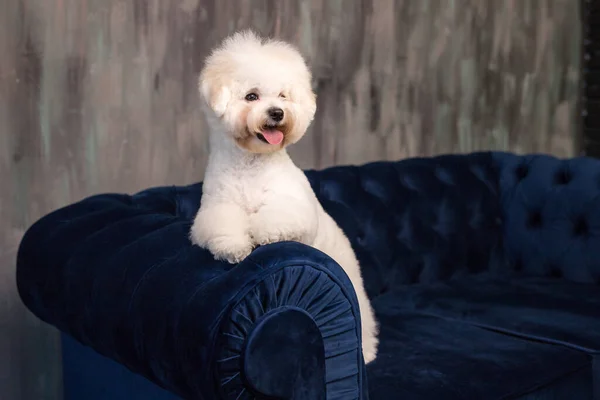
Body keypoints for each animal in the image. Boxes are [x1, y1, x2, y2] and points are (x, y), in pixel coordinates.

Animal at [191, 30, 380, 362]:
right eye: (251, 96)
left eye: (282, 96)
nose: (277, 113)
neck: (252, 163)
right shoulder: (217, 207)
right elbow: (223, 226)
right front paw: (235, 247)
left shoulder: (294, 209)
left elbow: (275, 220)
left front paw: (261, 233)